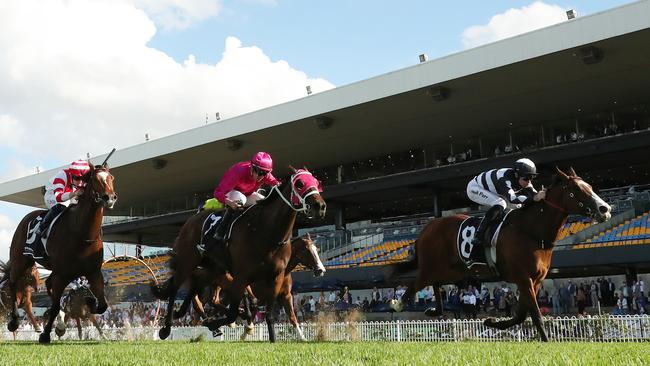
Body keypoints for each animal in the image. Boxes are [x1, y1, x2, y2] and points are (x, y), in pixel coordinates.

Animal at [6, 163, 116, 344]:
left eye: (111, 178)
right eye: (95, 179)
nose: (110, 198)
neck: (82, 233)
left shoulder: (93, 272)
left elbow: (102, 305)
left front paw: (89, 302)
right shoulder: (63, 274)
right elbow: (56, 305)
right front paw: (45, 335)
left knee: (48, 285)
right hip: (20, 260)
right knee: (13, 283)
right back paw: (14, 321)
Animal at [151, 167, 324, 342]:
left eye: (317, 182)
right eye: (300, 183)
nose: (320, 206)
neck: (267, 233)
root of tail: (190, 220)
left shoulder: (278, 282)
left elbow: (273, 315)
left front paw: (280, 339)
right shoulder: (241, 278)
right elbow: (236, 312)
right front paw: (236, 325)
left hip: (209, 271)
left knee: (197, 297)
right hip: (188, 262)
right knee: (176, 289)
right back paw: (167, 328)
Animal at [388, 167, 612, 342]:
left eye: (590, 186)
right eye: (577, 190)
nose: (605, 209)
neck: (532, 231)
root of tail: (426, 228)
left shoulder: (535, 280)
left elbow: (522, 314)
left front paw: (492, 321)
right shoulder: (523, 277)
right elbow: (535, 313)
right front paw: (547, 341)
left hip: (453, 270)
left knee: (434, 283)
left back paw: (435, 310)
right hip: (433, 265)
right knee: (416, 284)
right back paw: (397, 304)